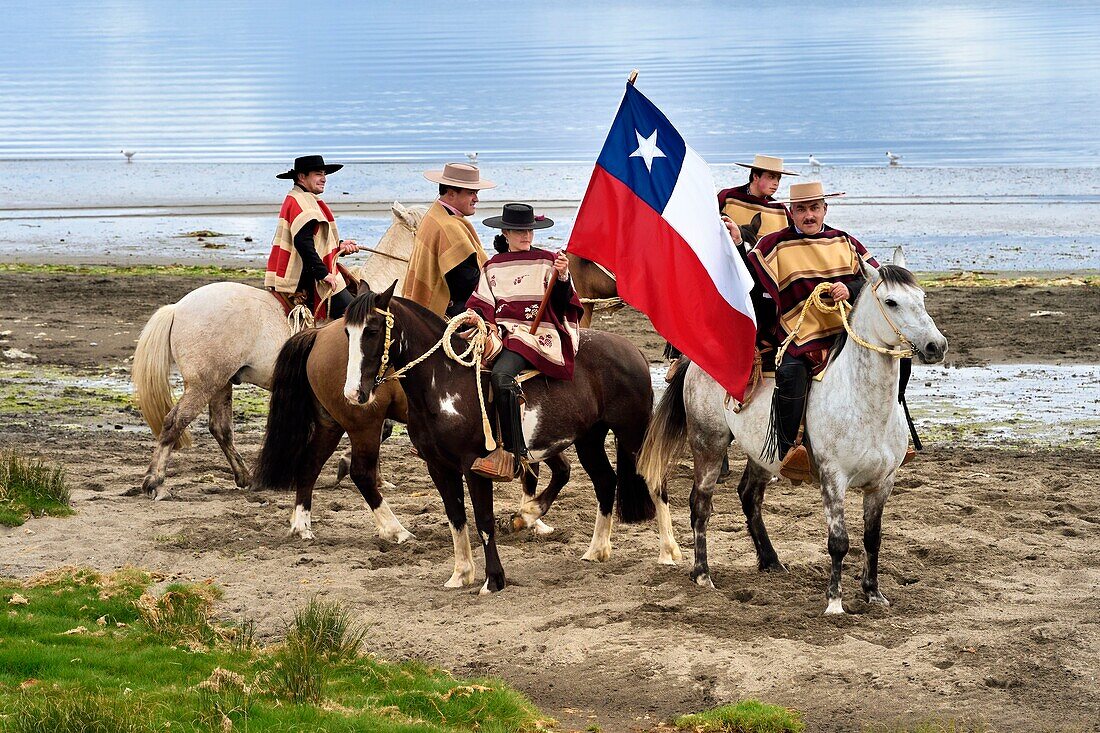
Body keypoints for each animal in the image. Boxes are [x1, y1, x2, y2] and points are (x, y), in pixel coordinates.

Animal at [126, 201, 422, 497]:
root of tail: (177, 308)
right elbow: (378, 430)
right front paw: (367, 474)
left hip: (221, 382)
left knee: (220, 429)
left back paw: (246, 477)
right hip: (203, 384)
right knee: (174, 422)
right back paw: (155, 482)